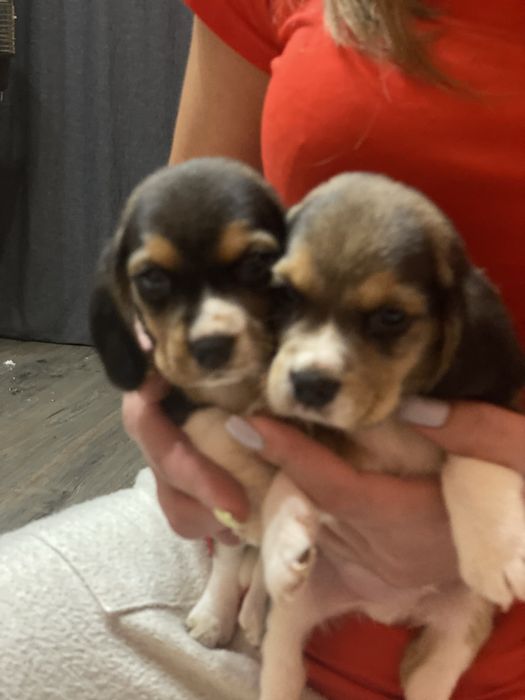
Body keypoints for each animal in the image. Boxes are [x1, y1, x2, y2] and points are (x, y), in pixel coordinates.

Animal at [89, 157, 287, 648]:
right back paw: (218, 613)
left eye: (257, 262)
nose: (212, 346)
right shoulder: (178, 402)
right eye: (152, 278)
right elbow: (217, 426)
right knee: (232, 556)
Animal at [259, 172, 525, 700]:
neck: (388, 417)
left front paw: (496, 550)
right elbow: (294, 461)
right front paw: (280, 535)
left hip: (457, 635)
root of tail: (383, 607)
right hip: (291, 620)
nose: (308, 383)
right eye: (286, 295)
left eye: (390, 317)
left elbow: (471, 457)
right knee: (283, 667)